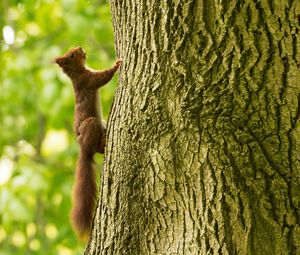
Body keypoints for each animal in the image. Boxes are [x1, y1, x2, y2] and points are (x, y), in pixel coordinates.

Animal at [55, 46, 122, 240]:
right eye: (71, 55)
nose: (81, 48)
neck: (76, 73)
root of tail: (83, 147)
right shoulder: (88, 80)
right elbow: (103, 77)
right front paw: (117, 64)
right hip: (92, 124)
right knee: (97, 149)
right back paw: (104, 142)